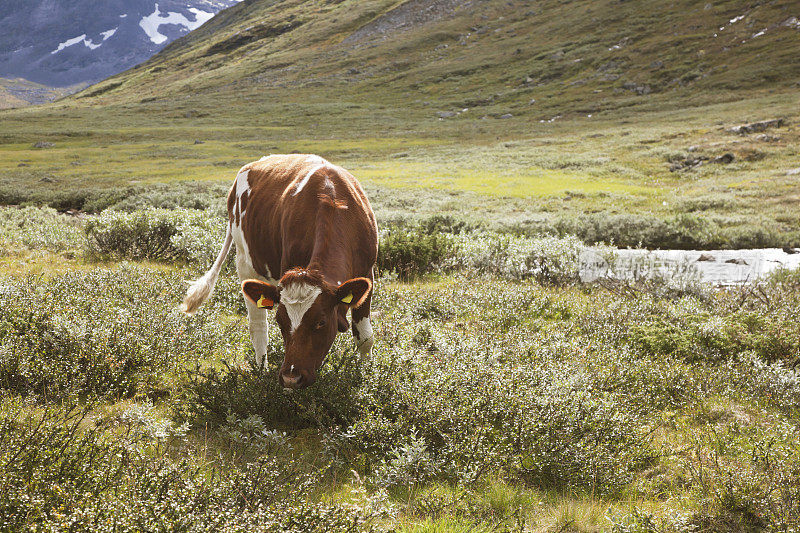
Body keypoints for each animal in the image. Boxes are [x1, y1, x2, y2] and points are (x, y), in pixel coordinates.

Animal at [180, 153, 378, 386]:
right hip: (245, 263)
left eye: (321, 322)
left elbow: (365, 337)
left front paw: (366, 377)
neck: (333, 202)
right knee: (258, 326)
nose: (291, 378)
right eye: (280, 320)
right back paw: (261, 372)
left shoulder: (367, 274)